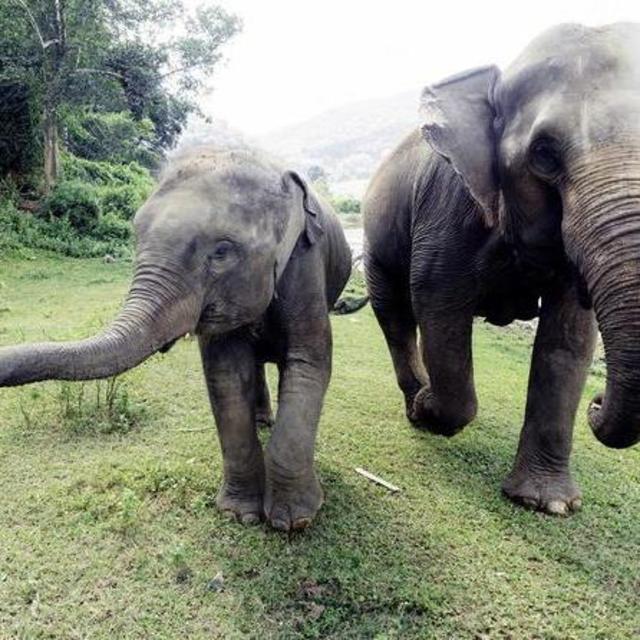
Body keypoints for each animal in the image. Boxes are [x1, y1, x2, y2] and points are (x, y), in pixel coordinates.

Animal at [0, 148, 354, 531]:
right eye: (135, 235)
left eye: (222, 251)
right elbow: (225, 375)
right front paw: (239, 515)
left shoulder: (306, 267)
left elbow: (309, 364)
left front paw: (291, 522)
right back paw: (262, 422)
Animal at [363, 23, 640, 515]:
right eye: (545, 154)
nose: (597, 402)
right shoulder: (449, 205)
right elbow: (437, 299)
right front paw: (429, 407)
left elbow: (569, 337)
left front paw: (547, 504)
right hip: (375, 241)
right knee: (394, 312)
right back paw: (415, 401)